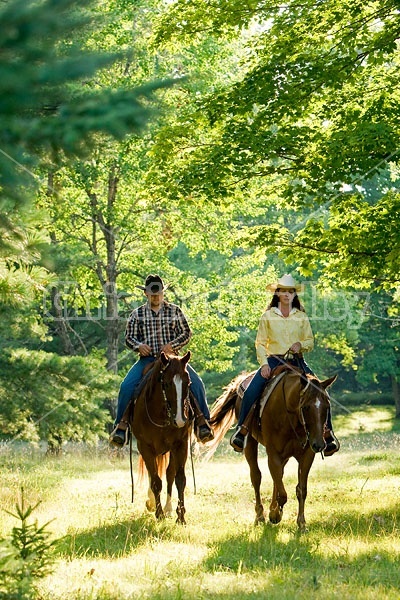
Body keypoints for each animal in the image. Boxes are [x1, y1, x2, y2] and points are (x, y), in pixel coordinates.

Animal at [130, 350, 193, 524]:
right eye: (166, 383)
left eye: (188, 383)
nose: (180, 420)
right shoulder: (145, 447)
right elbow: (156, 481)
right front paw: (158, 513)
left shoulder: (180, 444)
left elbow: (179, 479)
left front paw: (181, 516)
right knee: (153, 475)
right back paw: (153, 503)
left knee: (169, 473)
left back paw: (168, 508)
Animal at [208, 370, 336, 528]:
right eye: (306, 407)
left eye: (327, 407)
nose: (319, 444)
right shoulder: (273, 454)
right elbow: (283, 494)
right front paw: (275, 514)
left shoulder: (306, 455)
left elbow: (301, 490)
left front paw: (301, 523)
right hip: (250, 443)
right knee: (256, 477)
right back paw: (260, 516)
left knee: (278, 476)